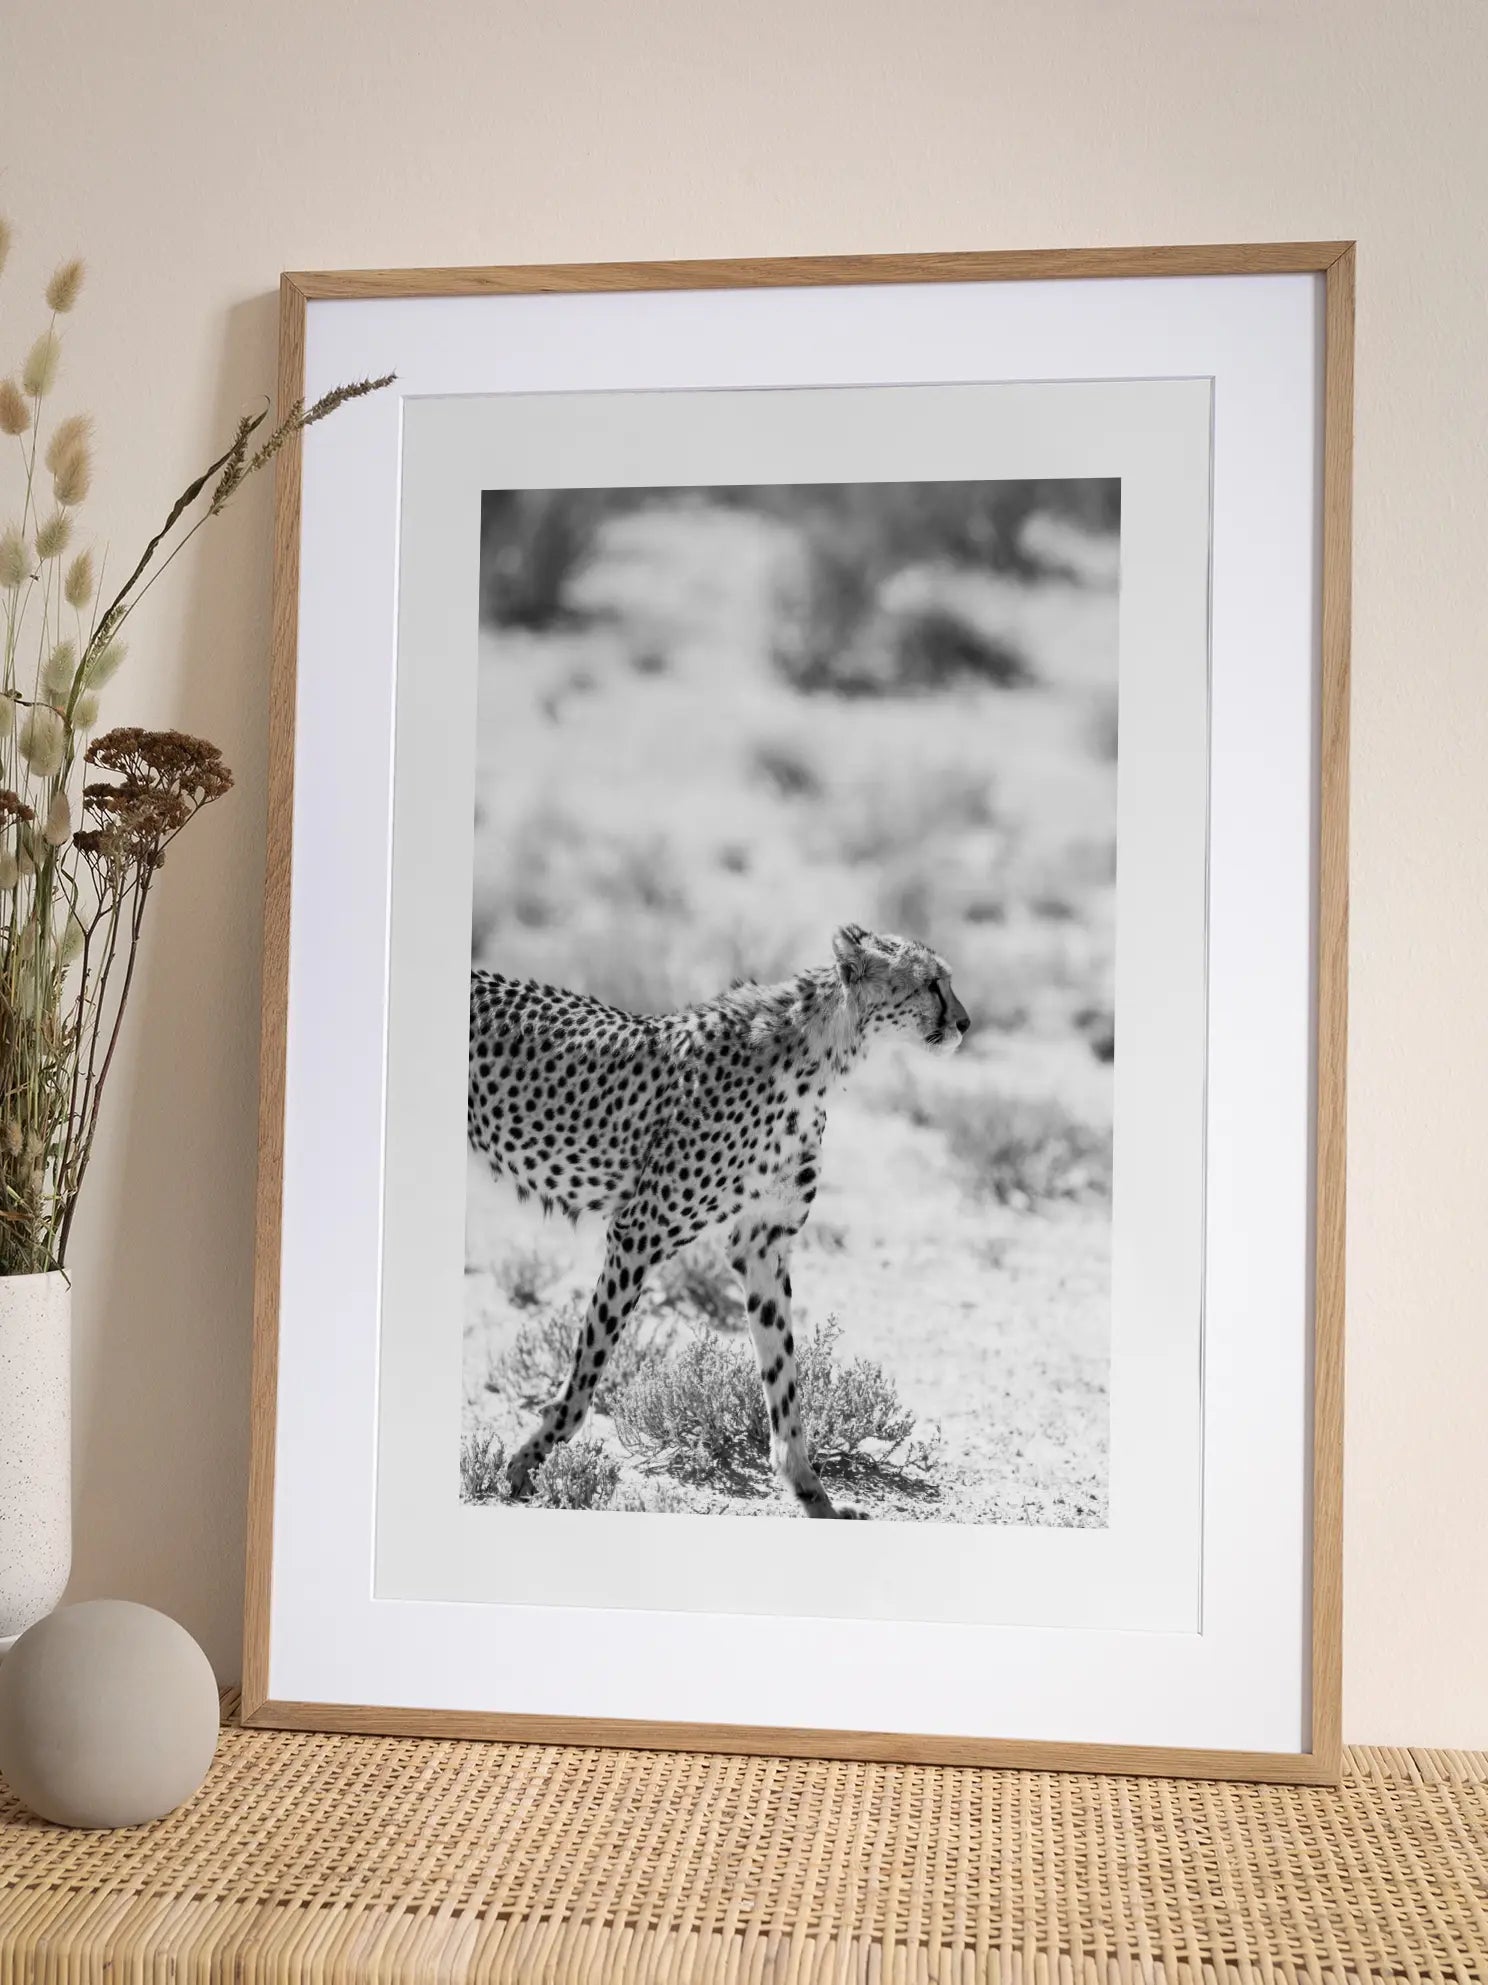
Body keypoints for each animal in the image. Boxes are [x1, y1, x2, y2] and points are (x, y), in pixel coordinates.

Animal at [468, 923, 971, 1518]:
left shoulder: (762, 1244)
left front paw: (811, 1492)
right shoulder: (639, 1231)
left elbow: (782, 1373)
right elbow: (589, 1366)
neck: (818, 1058)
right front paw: (528, 1461)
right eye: (932, 983)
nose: (966, 1023)